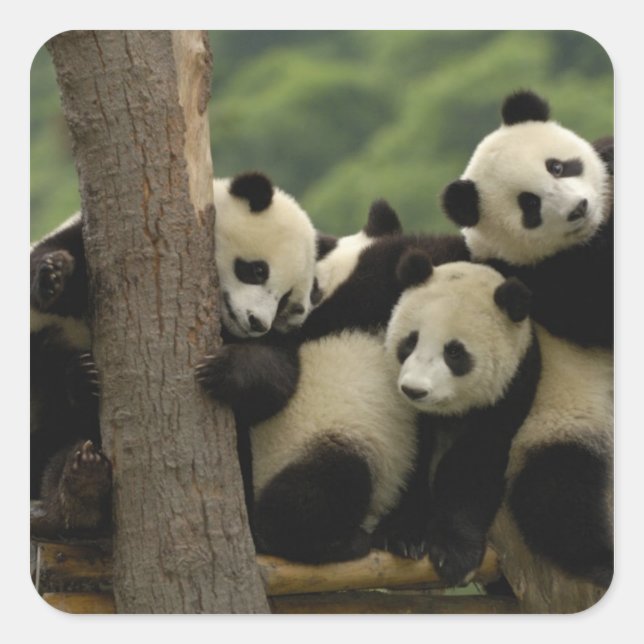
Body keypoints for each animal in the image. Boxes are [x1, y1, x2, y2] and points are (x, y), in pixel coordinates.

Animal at [31, 171, 318, 538]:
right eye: (257, 270)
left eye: (284, 300)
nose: (257, 323)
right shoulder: (84, 246)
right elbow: (52, 265)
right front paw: (52, 277)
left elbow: (277, 381)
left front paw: (221, 370)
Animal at [386, 250, 613, 611]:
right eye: (410, 342)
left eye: (454, 352)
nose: (415, 390)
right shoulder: (410, 413)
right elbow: (409, 458)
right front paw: (406, 535)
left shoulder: (513, 389)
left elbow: (476, 464)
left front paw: (454, 554)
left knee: (559, 492)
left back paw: (598, 562)